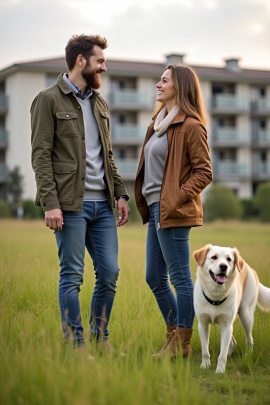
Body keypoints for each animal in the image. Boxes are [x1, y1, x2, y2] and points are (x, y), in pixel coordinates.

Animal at [193, 243, 270, 372]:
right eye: (214, 257)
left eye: (229, 259)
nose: (224, 266)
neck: (215, 295)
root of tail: (249, 268)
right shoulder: (202, 324)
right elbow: (205, 351)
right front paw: (205, 365)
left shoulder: (226, 325)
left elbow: (222, 355)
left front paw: (220, 370)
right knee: (233, 342)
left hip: (245, 315)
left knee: (250, 339)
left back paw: (247, 357)